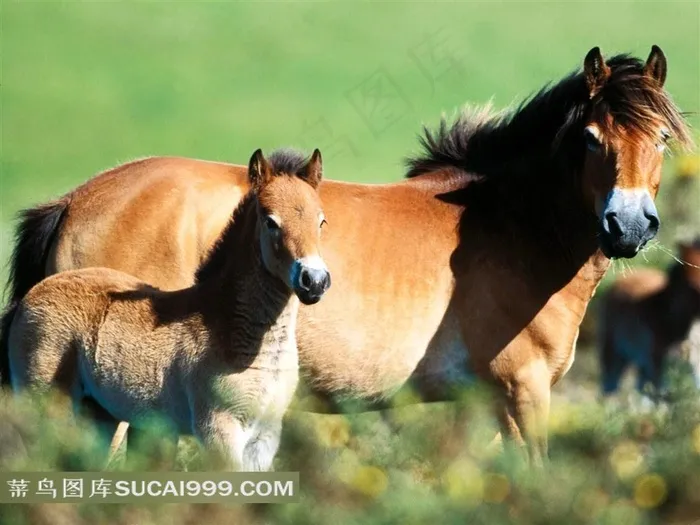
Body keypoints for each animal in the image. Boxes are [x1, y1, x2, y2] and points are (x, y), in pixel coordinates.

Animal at [6, 148, 331, 471]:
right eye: (270, 221)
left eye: (321, 221)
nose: (314, 280)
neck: (226, 324)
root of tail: (31, 296)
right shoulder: (218, 429)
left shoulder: (264, 437)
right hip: (47, 405)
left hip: (98, 413)